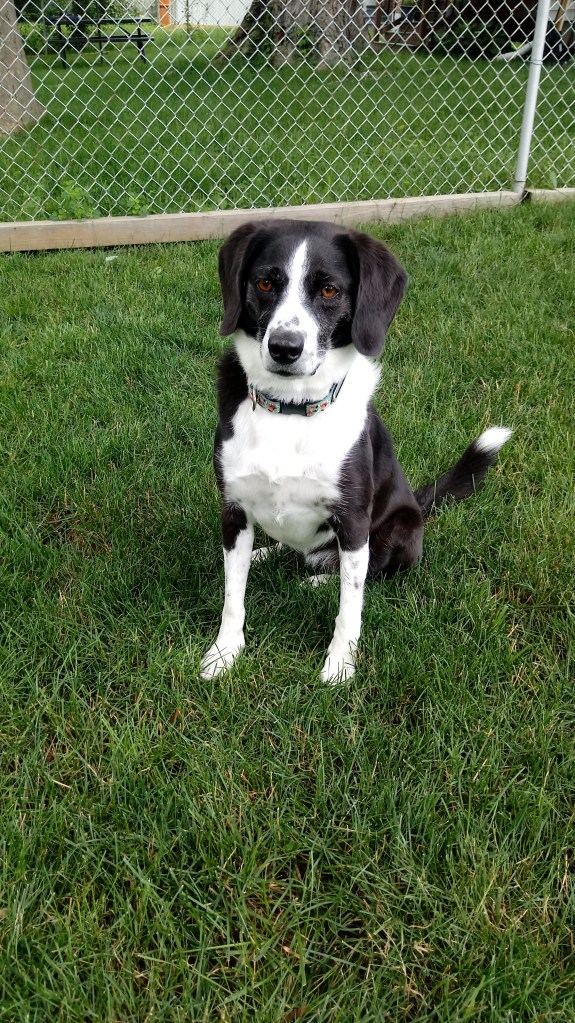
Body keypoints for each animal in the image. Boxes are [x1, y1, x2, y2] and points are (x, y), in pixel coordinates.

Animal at [200, 219, 511, 683]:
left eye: (329, 290)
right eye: (265, 283)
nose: (284, 347)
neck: (291, 408)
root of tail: (418, 504)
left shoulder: (352, 517)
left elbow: (351, 605)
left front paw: (340, 664)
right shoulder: (233, 509)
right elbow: (232, 595)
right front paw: (225, 652)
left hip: (399, 531)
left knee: (367, 570)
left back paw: (316, 580)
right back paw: (267, 554)